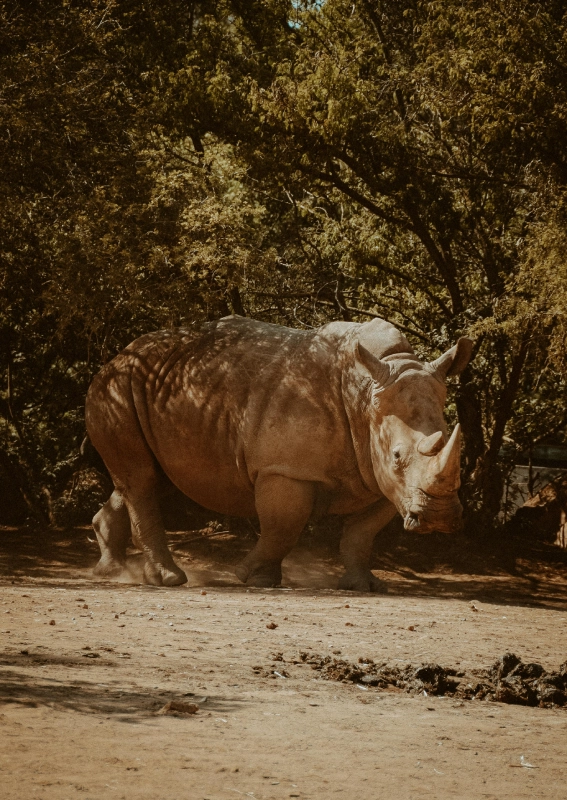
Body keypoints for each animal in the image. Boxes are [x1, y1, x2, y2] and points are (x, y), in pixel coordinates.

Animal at [85, 315, 472, 591]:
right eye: (396, 456)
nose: (438, 519)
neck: (365, 396)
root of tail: (114, 358)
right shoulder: (285, 468)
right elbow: (284, 525)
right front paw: (252, 577)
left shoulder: (382, 478)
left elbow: (363, 533)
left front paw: (364, 586)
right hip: (117, 388)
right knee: (142, 480)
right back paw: (167, 579)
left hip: (147, 391)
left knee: (151, 478)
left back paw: (110, 570)